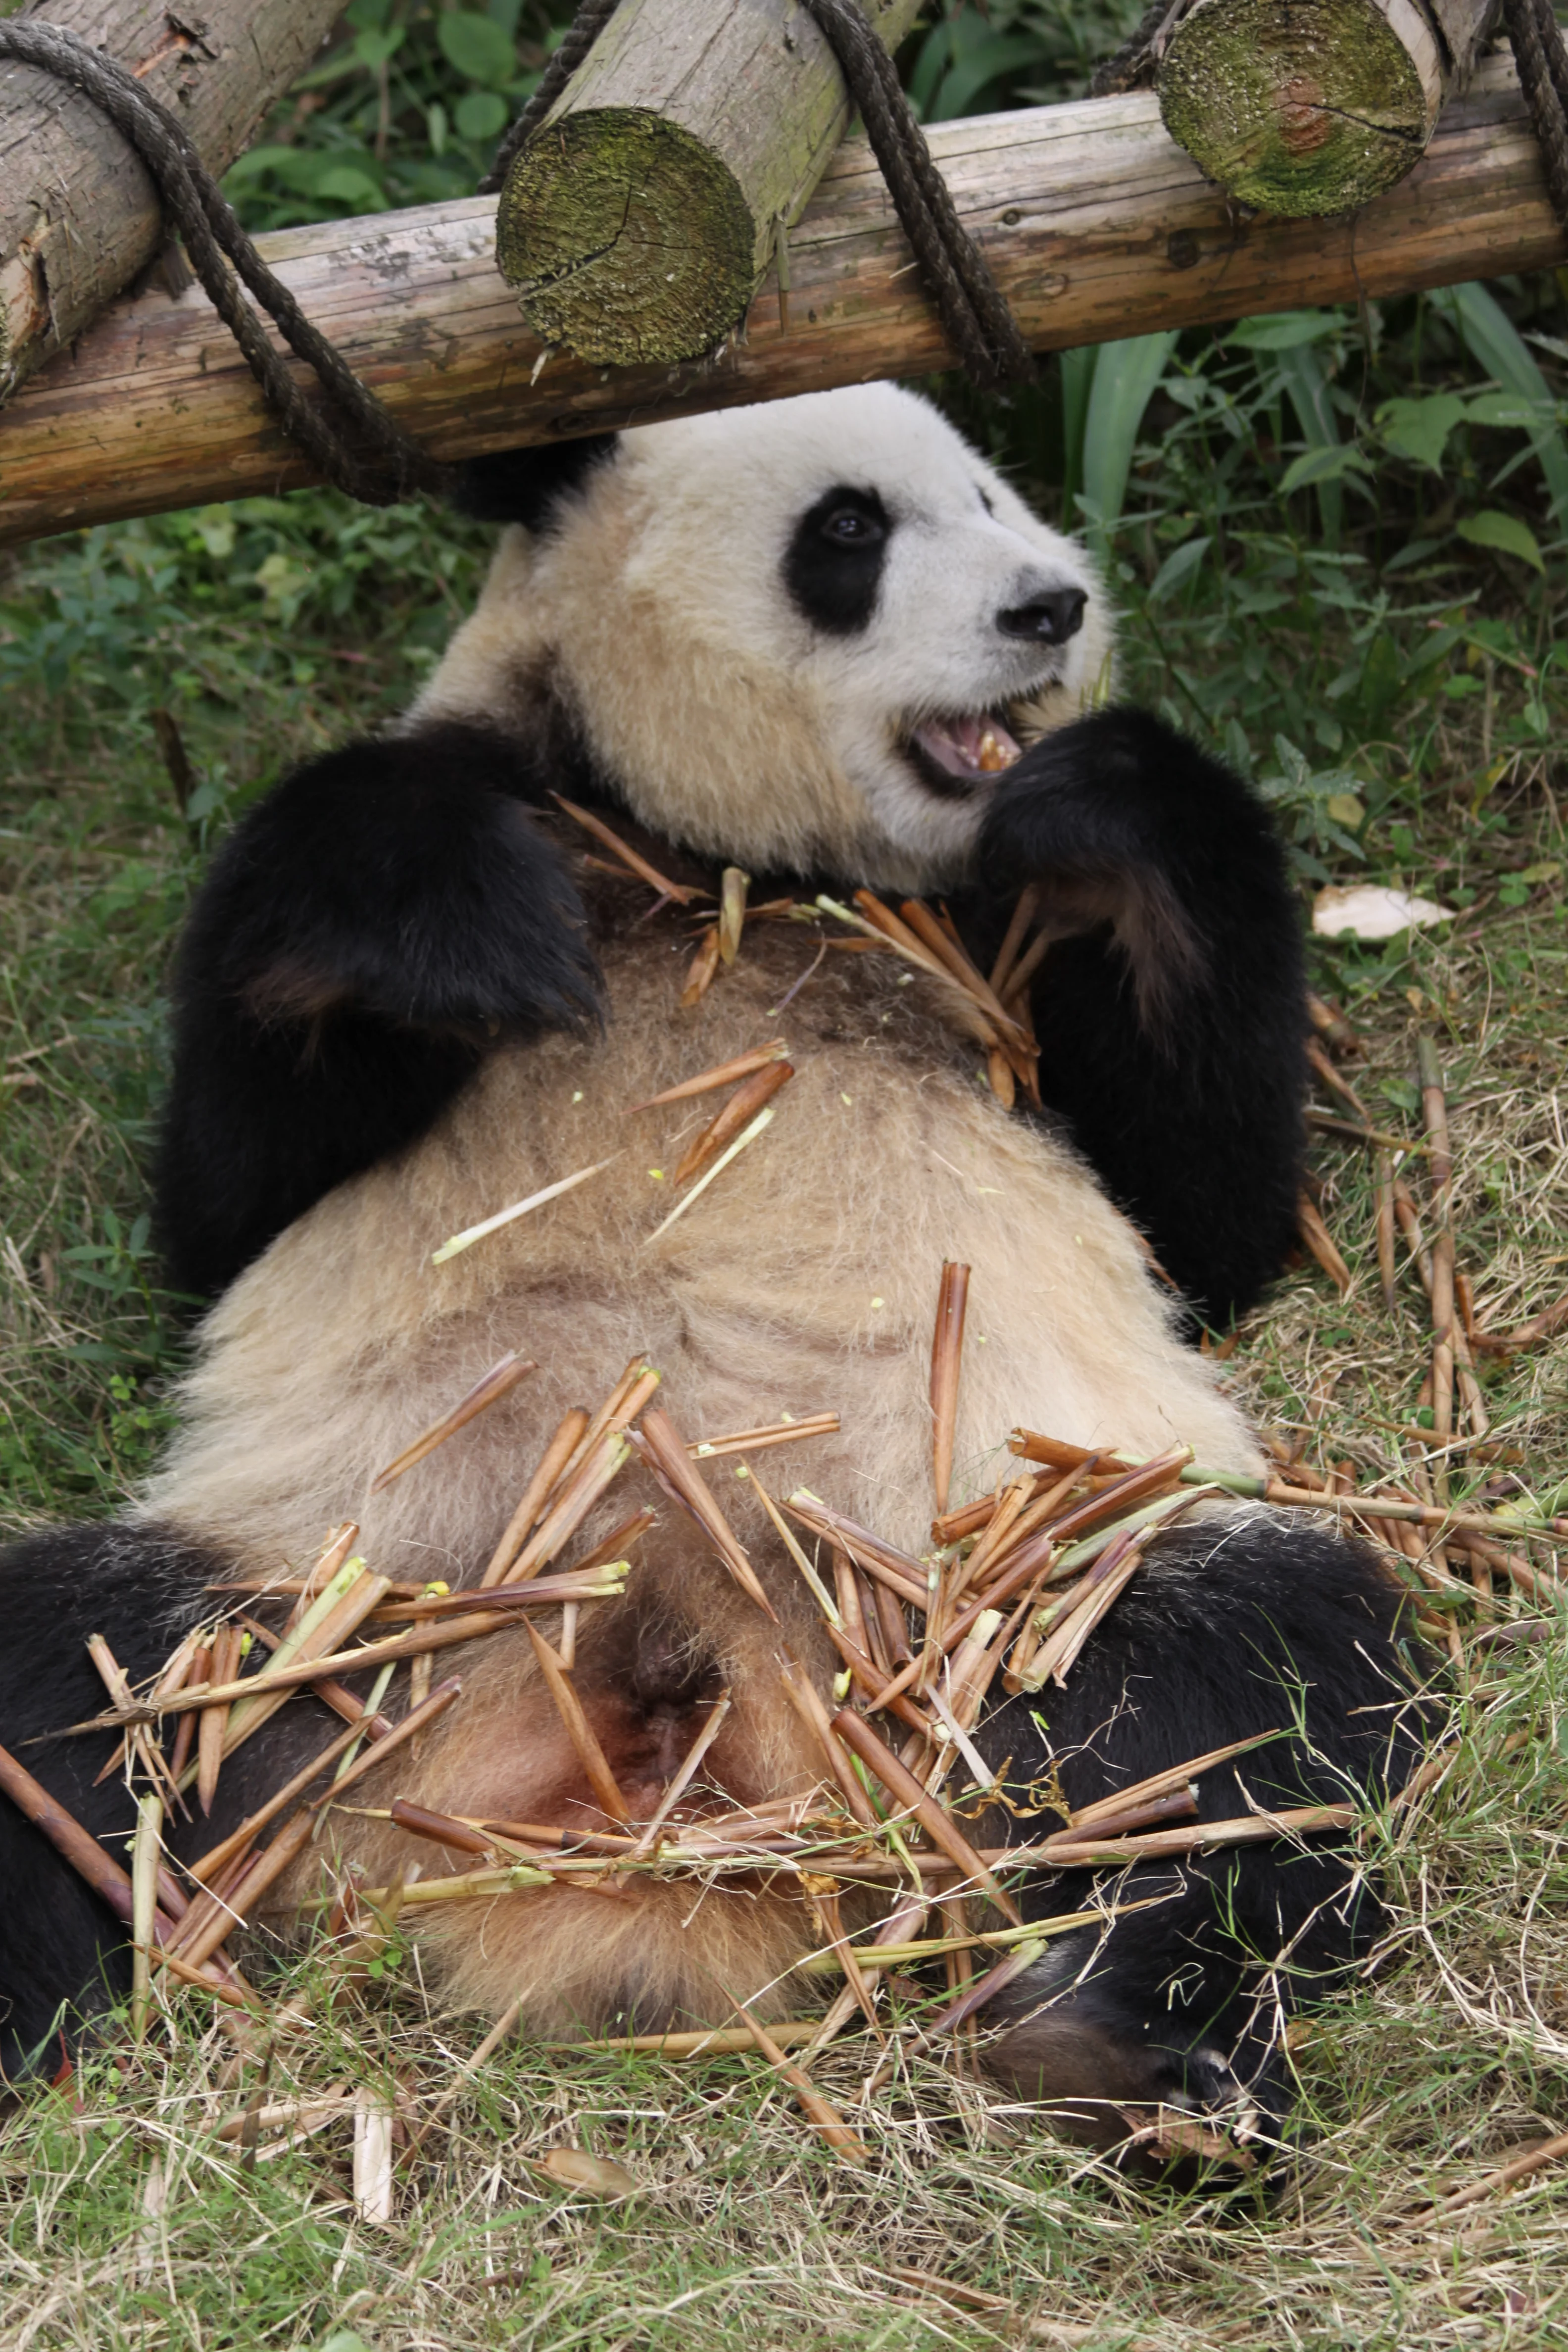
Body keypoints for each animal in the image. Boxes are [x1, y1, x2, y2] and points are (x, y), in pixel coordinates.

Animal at [0, 384, 1428, 2163]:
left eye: (990, 491)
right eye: (850, 531)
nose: (1049, 606)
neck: (734, 868)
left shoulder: (999, 949)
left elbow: (1207, 1215)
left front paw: (1101, 791)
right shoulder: (502, 793)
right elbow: (220, 1202)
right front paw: (469, 932)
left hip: (989, 1581)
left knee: (1240, 1686)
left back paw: (1132, 2051)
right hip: (320, 1612)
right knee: (61, 1682)